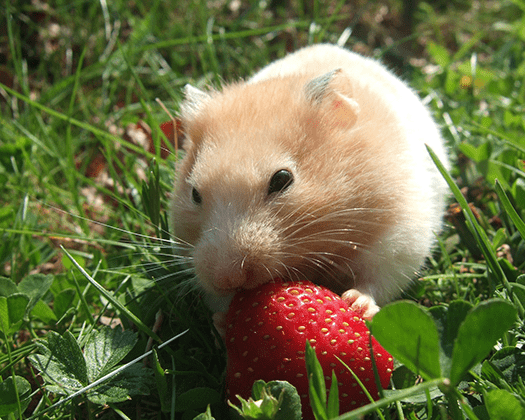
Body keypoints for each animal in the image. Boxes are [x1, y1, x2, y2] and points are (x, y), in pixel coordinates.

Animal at [170, 43, 448, 318]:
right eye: (194, 194)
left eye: (282, 179)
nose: (227, 278)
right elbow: (220, 303)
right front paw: (222, 318)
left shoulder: (399, 238)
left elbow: (376, 281)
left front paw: (355, 304)